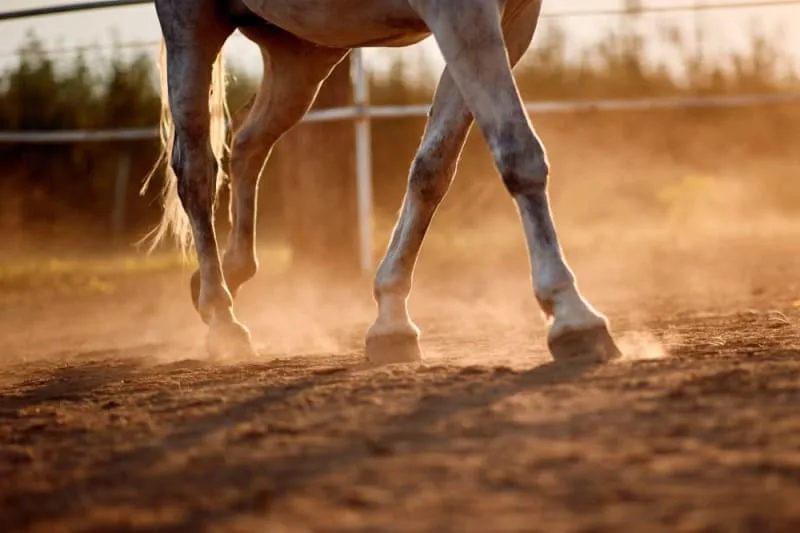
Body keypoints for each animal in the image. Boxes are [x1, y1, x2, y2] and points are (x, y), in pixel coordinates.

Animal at [145, 0, 623, 364]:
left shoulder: (511, 21)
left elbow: (432, 169)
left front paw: (392, 320)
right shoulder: (463, 13)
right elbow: (518, 151)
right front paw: (572, 314)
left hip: (304, 51)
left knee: (247, 142)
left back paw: (226, 276)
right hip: (194, 27)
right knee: (196, 170)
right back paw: (222, 317)